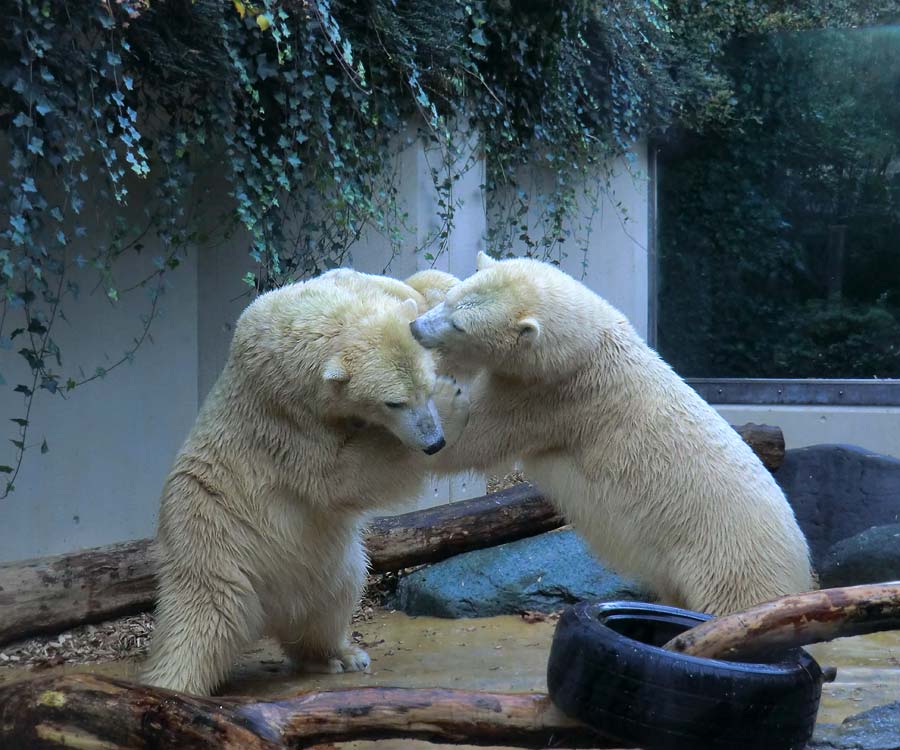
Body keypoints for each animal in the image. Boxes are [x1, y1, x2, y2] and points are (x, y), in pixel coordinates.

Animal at [143, 272, 468, 700]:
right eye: (393, 403)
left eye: (425, 387)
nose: (434, 442)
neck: (309, 318)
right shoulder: (288, 420)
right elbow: (341, 475)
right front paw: (453, 399)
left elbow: (409, 289)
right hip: (216, 537)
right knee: (209, 615)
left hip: (323, 563)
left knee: (335, 596)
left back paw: (338, 654)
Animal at [414, 253, 816, 616]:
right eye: (450, 300)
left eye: (460, 324)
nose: (417, 327)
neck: (587, 347)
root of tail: (803, 564)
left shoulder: (550, 399)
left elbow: (472, 442)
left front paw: (444, 403)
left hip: (729, 563)